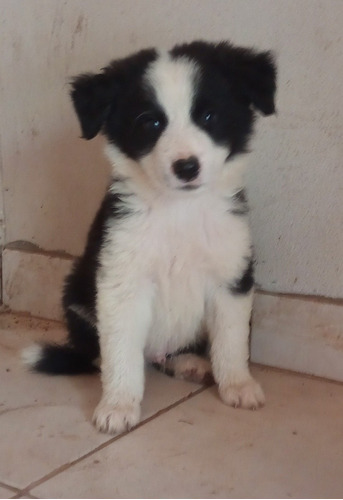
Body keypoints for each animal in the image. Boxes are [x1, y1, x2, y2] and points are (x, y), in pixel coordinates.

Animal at [23, 41, 276, 434]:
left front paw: (238, 385)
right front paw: (117, 406)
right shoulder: (121, 279)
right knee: (102, 352)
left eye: (209, 116)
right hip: (78, 295)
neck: (178, 209)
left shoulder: (231, 277)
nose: (186, 167)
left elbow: (231, 340)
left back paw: (190, 363)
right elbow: (121, 352)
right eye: (150, 122)